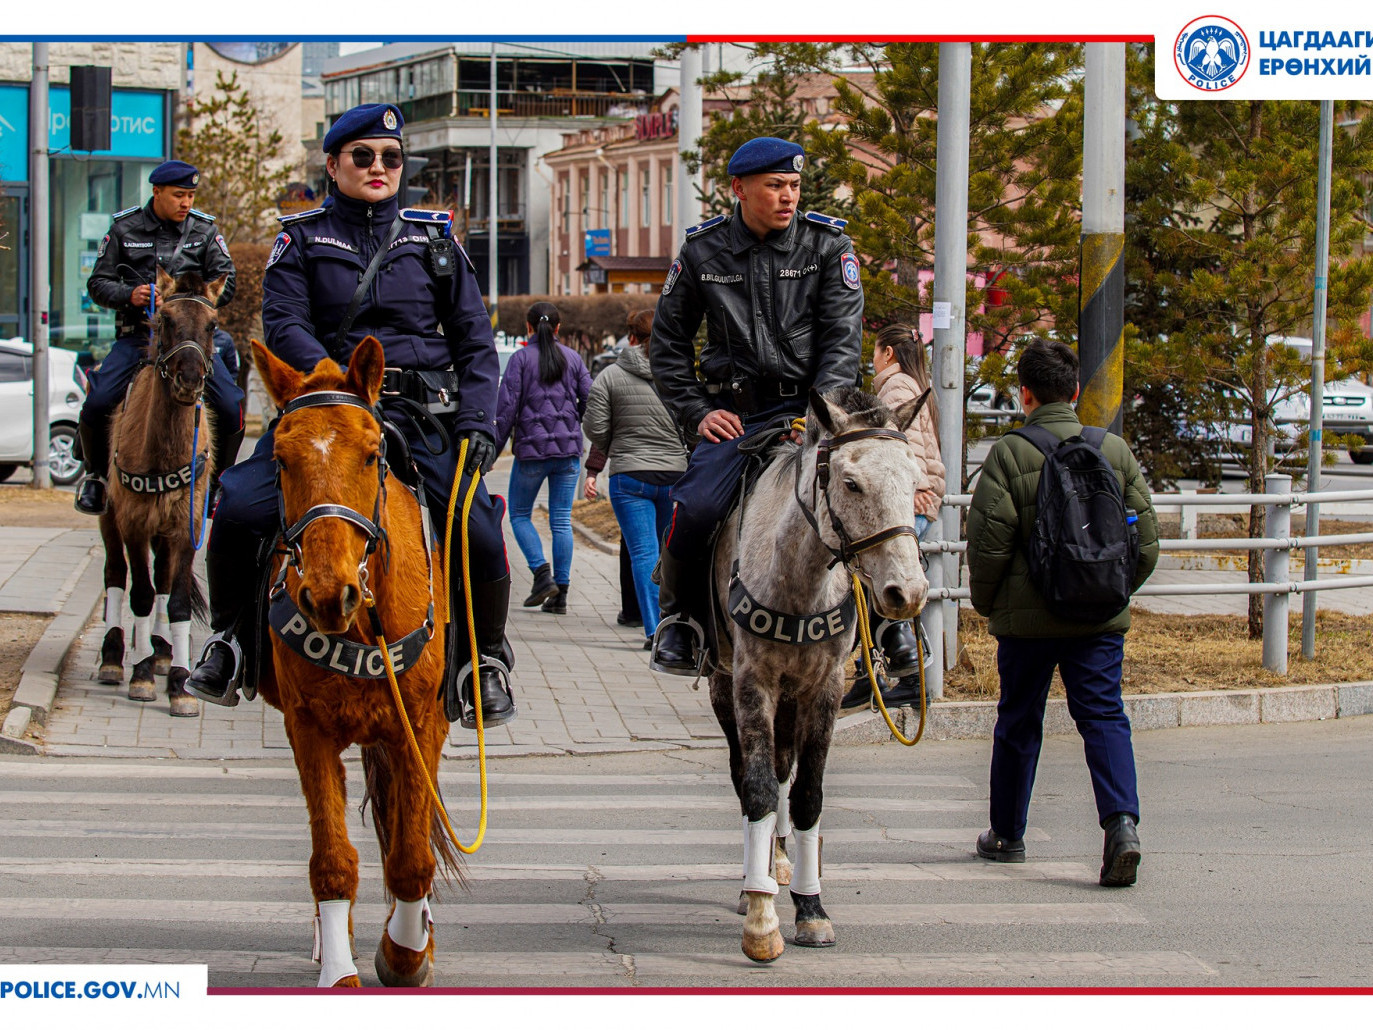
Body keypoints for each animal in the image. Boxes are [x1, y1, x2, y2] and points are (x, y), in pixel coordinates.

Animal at [98, 266, 225, 719]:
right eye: (164, 321)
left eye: (213, 325)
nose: (189, 379)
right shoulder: (134, 524)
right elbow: (139, 594)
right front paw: (139, 675)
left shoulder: (186, 527)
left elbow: (177, 599)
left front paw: (180, 684)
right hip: (109, 518)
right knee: (117, 575)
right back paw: (115, 656)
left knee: (166, 583)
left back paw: (163, 651)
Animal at [249, 335, 458, 988]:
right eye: (281, 460)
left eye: (370, 455)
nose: (325, 595)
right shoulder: (307, 729)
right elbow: (333, 858)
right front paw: (341, 972)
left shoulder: (420, 726)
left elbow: (411, 854)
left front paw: (405, 952)